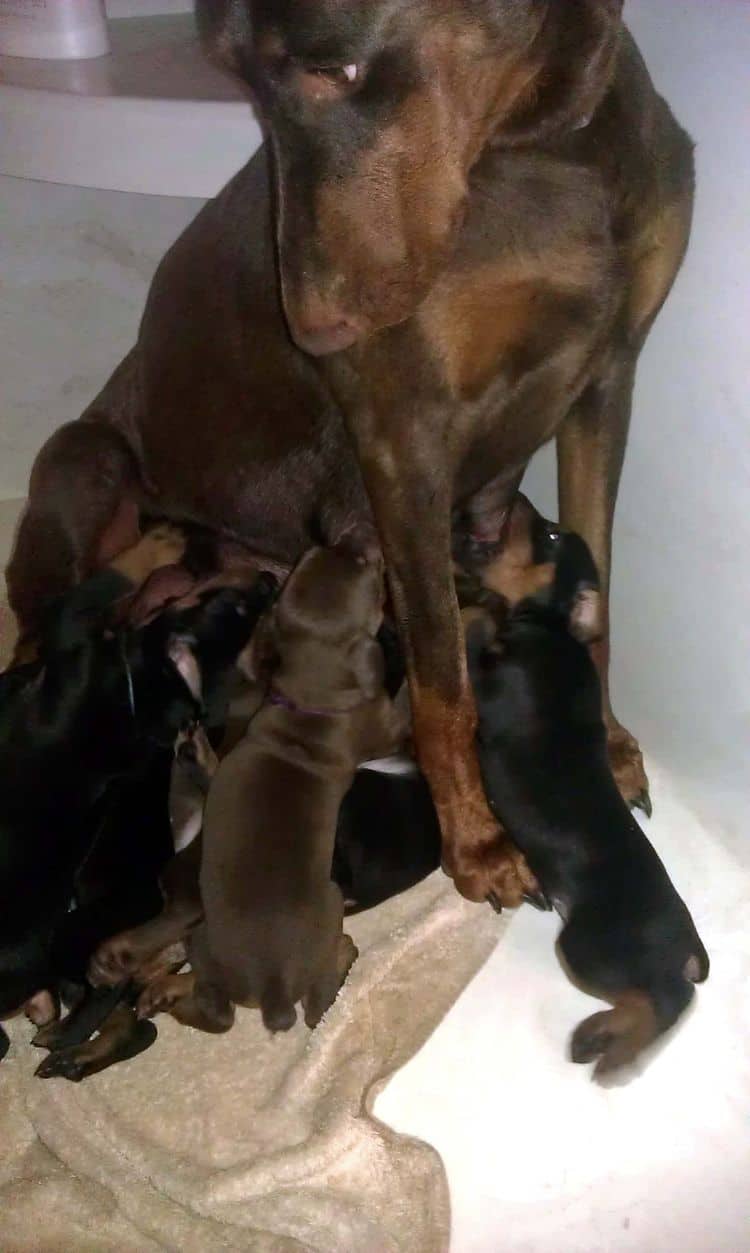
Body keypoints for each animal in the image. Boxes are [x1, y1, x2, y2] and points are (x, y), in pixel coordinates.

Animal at [8, 0, 696, 912]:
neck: (547, 149)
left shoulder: (609, 378)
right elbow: (443, 678)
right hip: (87, 456)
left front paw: (608, 745)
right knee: (36, 628)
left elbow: (602, 599)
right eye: (237, 82)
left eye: (336, 70)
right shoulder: (405, 433)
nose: (314, 330)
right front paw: (477, 843)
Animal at [162, 553, 405, 1032]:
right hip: (331, 901)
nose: (360, 539)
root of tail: (271, 989)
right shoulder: (385, 727)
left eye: (312, 558)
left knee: (219, 1012)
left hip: (203, 942)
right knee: (316, 1009)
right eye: (368, 570)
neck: (308, 699)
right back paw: (343, 954)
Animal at [463, 493, 711, 1082]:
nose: (515, 497)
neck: (552, 627)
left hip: (585, 949)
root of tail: (687, 944)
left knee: (663, 1001)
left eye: (551, 535)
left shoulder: (495, 675)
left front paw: (471, 609)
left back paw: (606, 1043)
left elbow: (477, 635)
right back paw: (603, 1037)